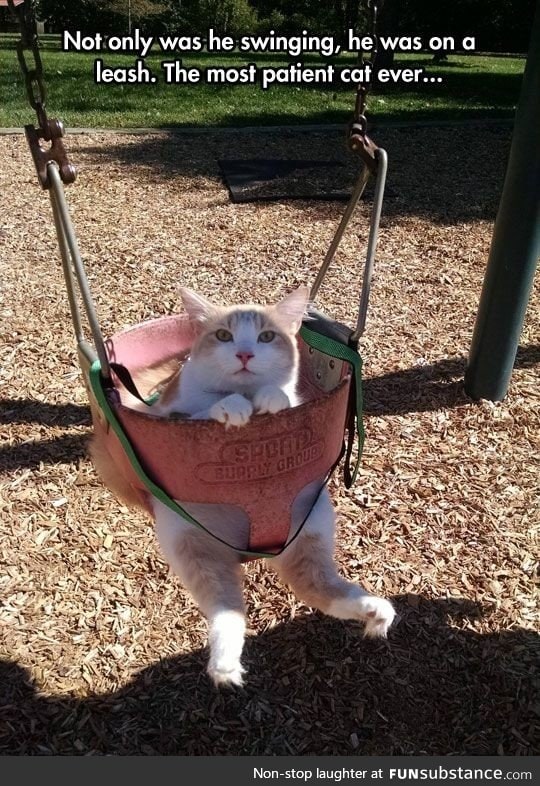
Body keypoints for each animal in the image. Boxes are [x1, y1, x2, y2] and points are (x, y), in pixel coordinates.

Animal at [89, 288, 396, 688]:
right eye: (224, 336)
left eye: (266, 337)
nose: (245, 354)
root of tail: (255, 550)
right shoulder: (167, 416)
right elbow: (204, 410)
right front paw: (230, 406)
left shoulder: (297, 402)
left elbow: (282, 397)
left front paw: (270, 397)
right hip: (192, 546)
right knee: (227, 606)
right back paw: (225, 665)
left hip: (308, 529)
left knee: (315, 586)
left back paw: (374, 611)